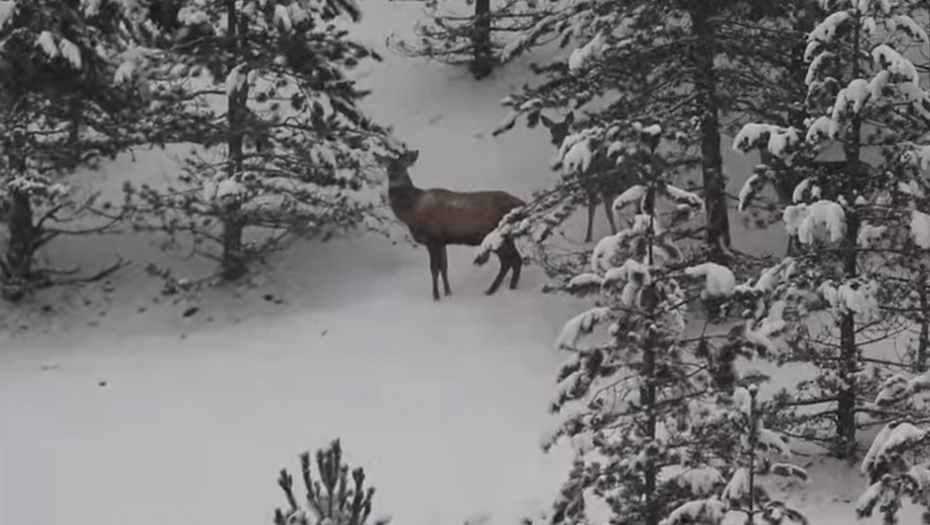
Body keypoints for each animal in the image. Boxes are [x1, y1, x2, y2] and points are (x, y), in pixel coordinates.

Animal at [374, 149, 524, 300]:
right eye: (387, 166)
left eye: (403, 165)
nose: (393, 175)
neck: (413, 212)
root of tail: (522, 204)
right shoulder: (442, 241)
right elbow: (444, 268)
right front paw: (448, 293)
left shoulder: (432, 238)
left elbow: (434, 269)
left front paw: (436, 296)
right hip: (506, 237)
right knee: (515, 259)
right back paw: (507, 288)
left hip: (499, 236)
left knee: (510, 260)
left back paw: (493, 290)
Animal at [536, 111, 616, 243]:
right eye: (552, 131)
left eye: (565, 129)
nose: (554, 140)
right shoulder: (595, 187)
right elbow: (601, 210)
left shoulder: (597, 183)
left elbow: (603, 212)